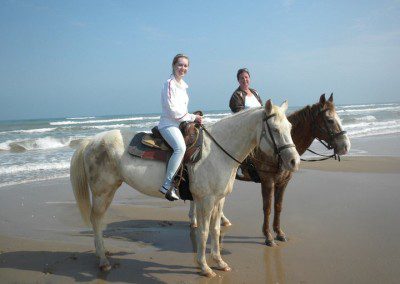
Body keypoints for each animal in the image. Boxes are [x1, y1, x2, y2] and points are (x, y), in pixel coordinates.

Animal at [70, 100, 300, 278]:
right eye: (275, 130)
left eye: (290, 127)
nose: (294, 161)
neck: (216, 152)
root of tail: (92, 140)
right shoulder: (206, 200)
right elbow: (204, 232)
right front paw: (205, 267)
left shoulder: (219, 199)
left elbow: (216, 230)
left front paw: (219, 262)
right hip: (103, 192)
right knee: (96, 221)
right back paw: (103, 260)